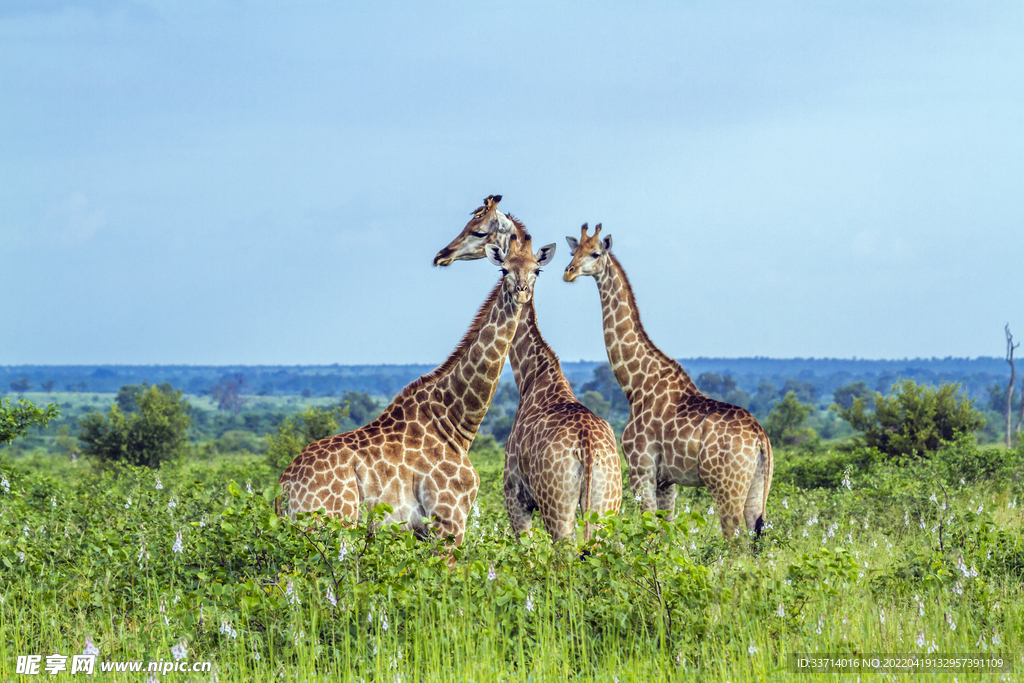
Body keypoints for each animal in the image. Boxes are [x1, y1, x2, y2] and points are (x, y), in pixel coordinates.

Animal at [276, 233, 557, 557]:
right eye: (504, 270)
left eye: (537, 270)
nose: (522, 293)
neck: (454, 423)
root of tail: (283, 490)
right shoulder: (449, 520)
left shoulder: (424, 531)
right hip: (331, 526)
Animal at [430, 196, 618, 540]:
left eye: (478, 230)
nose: (443, 255)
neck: (532, 376)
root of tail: (587, 448)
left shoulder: (514, 496)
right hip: (607, 506)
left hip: (558, 510)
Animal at [565, 224, 770, 540]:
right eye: (573, 251)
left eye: (595, 253)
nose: (569, 272)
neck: (635, 385)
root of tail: (761, 438)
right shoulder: (666, 480)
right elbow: (666, 532)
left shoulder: (641, 469)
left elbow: (649, 531)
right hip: (757, 487)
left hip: (726, 486)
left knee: (736, 538)